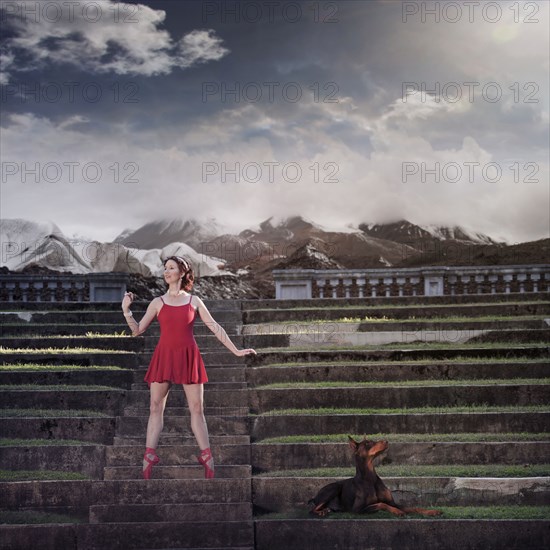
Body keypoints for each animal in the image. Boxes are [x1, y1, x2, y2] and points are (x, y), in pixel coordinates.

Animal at [310, 438, 444, 520]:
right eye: (367, 443)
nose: (386, 440)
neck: (370, 477)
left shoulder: (393, 502)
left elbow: (413, 507)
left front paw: (432, 512)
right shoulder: (357, 509)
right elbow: (381, 504)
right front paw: (398, 512)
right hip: (334, 487)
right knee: (312, 509)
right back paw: (321, 511)